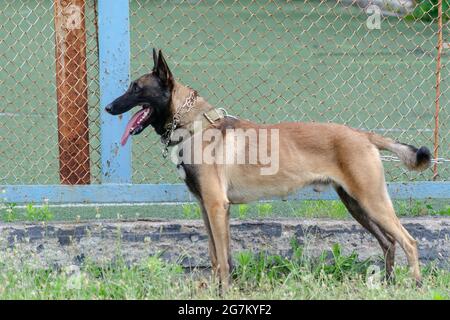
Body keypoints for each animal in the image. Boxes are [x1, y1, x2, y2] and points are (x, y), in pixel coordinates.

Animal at [106, 48, 432, 288]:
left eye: (136, 88)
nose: (109, 108)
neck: (194, 126)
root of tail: (364, 135)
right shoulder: (206, 208)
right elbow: (215, 257)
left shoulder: (216, 206)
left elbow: (223, 260)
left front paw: (224, 291)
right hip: (356, 205)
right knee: (388, 242)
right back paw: (388, 283)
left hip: (372, 201)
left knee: (409, 241)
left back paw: (415, 284)